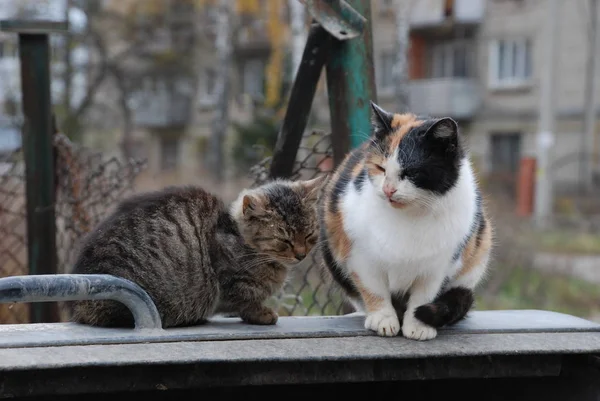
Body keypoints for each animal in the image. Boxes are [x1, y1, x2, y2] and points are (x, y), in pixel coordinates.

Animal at [71, 177, 328, 328]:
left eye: (308, 235)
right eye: (284, 240)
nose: (301, 255)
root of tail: (78, 306)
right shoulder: (230, 282)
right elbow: (246, 301)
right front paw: (262, 313)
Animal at [318, 101, 492, 340]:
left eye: (411, 172)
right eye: (380, 168)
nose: (388, 190)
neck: (410, 216)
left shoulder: (437, 266)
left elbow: (423, 296)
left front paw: (418, 326)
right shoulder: (360, 256)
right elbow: (374, 290)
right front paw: (383, 319)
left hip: (480, 246)